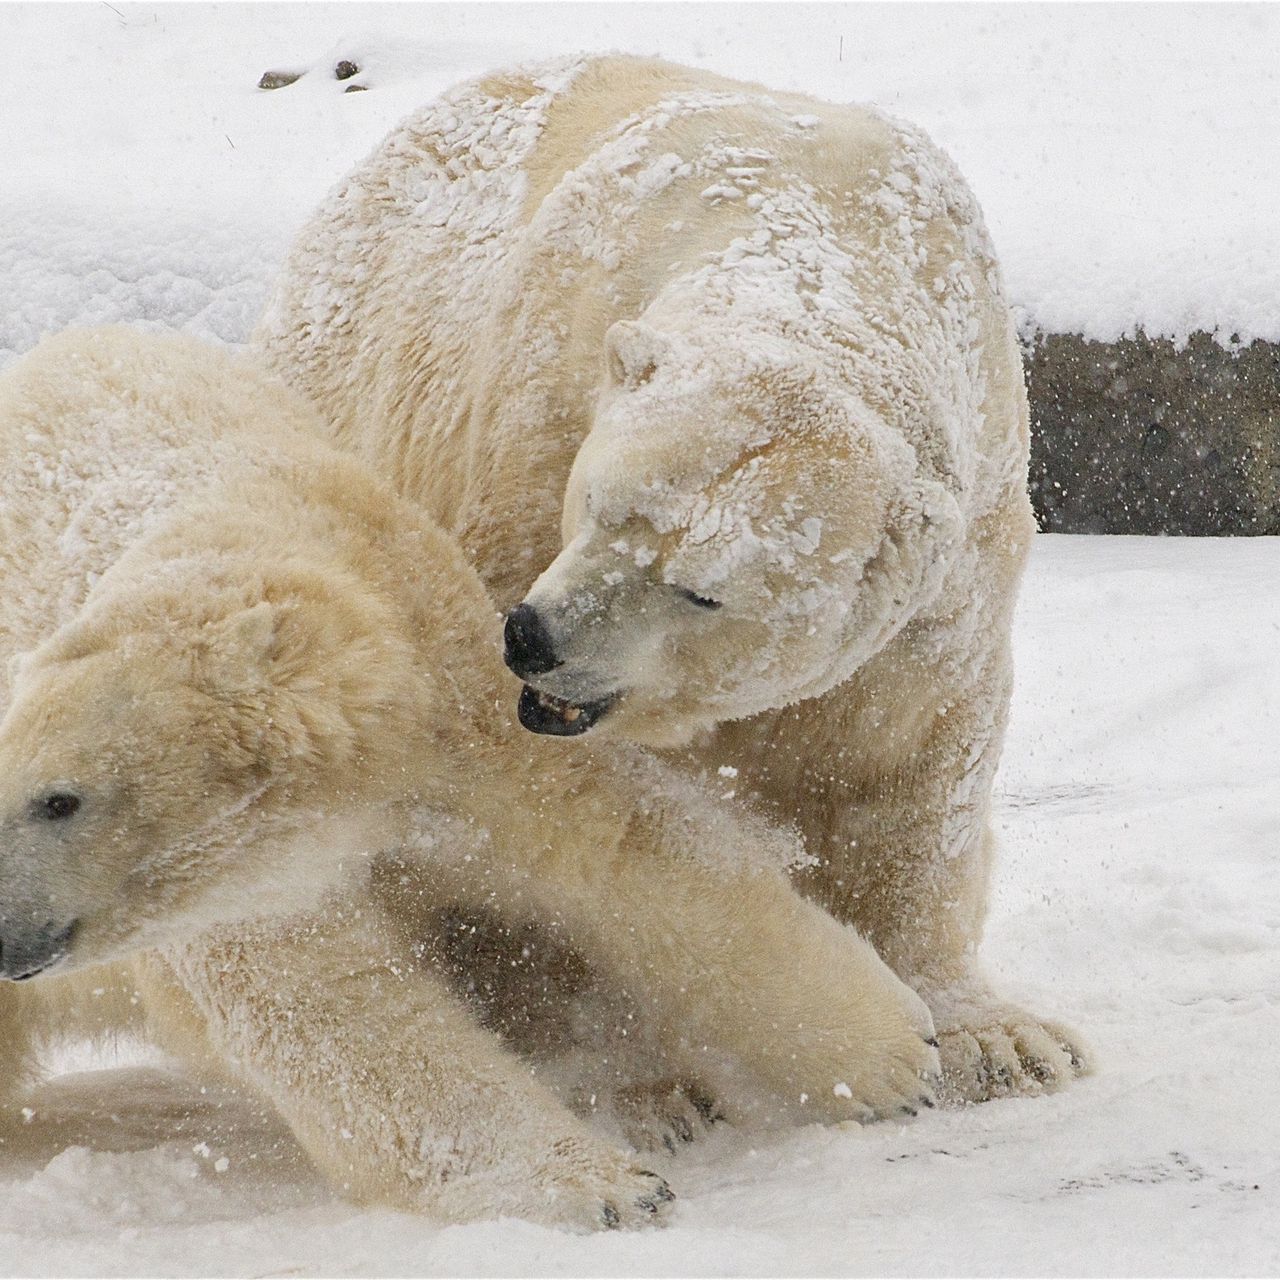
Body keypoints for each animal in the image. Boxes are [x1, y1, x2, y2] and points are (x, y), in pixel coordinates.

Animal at [0, 327, 942, 1228]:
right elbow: (334, 1013)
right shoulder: (242, 890)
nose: (4, 938)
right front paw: (609, 1187)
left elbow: (625, 851)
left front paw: (896, 1055)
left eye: (58, 800)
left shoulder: (456, 707)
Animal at [257, 47, 1090, 1090]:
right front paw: (632, 1077)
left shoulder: (961, 539)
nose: (534, 638)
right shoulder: (535, 417)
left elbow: (912, 758)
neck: (815, 250)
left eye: (701, 589)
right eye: (600, 501)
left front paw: (998, 1038)